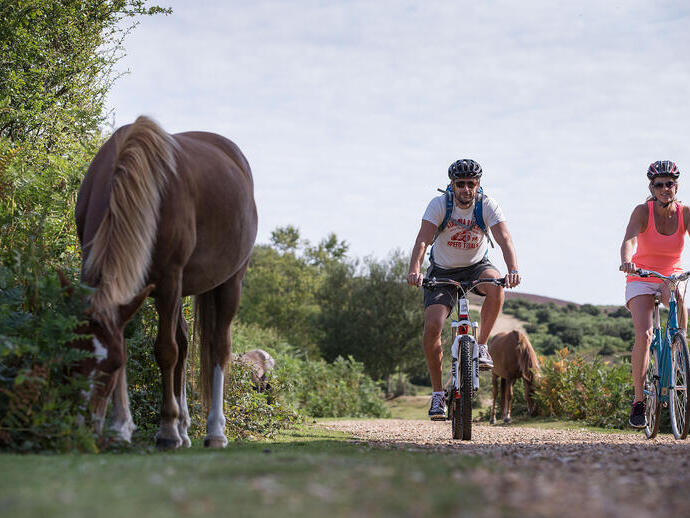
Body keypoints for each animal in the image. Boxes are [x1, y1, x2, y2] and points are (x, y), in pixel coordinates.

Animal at [72, 115, 257, 449]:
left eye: (110, 366)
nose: (84, 429)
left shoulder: (169, 281)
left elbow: (165, 351)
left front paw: (167, 429)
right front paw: (121, 427)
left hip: (229, 283)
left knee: (218, 348)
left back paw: (214, 431)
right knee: (184, 344)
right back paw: (184, 428)